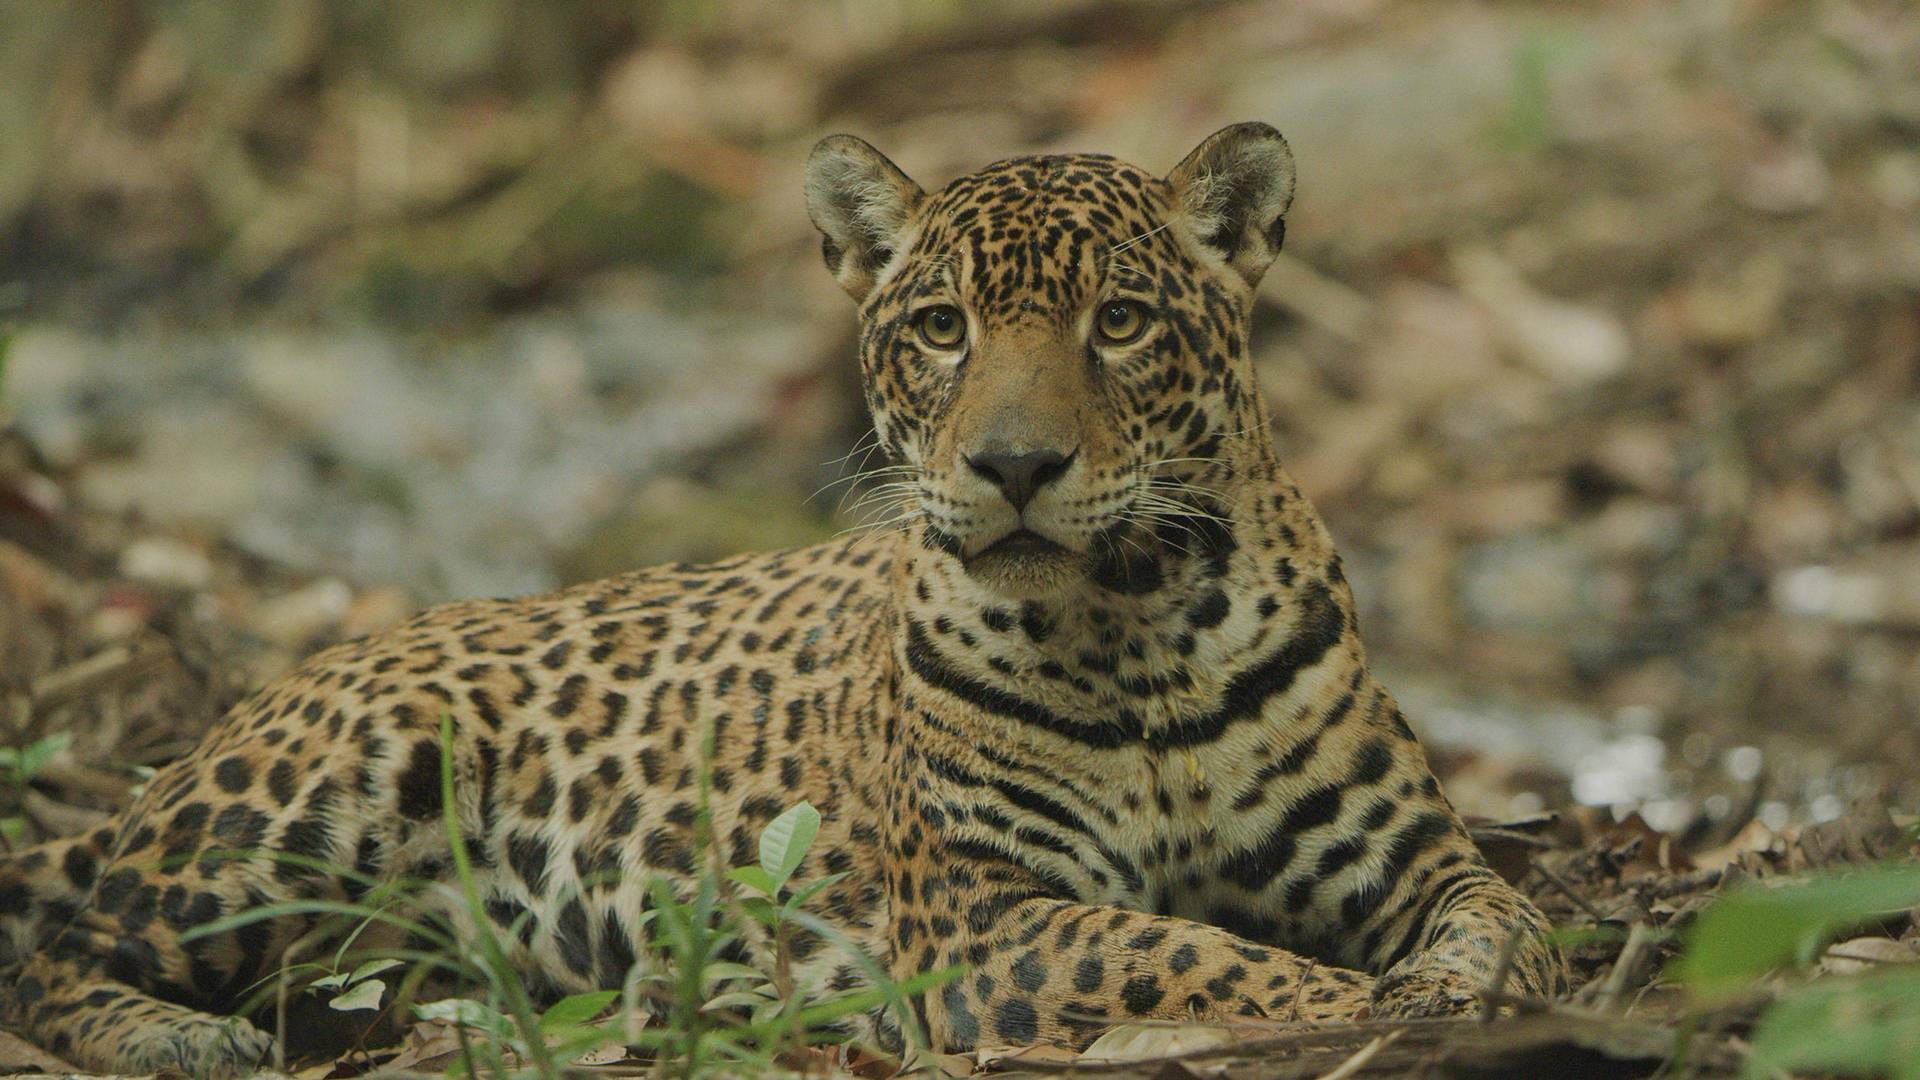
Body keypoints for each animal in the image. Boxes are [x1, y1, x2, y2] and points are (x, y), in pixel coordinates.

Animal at [0, 123, 1563, 1075]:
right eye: (942, 329)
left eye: (1119, 322)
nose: (1014, 465)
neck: (1141, 628)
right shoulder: (987, 918)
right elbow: (1198, 958)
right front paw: (1353, 1007)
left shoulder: (1415, 859)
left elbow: (1506, 924)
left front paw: (1455, 995)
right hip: (313, 804)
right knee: (48, 937)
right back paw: (175, 1038)